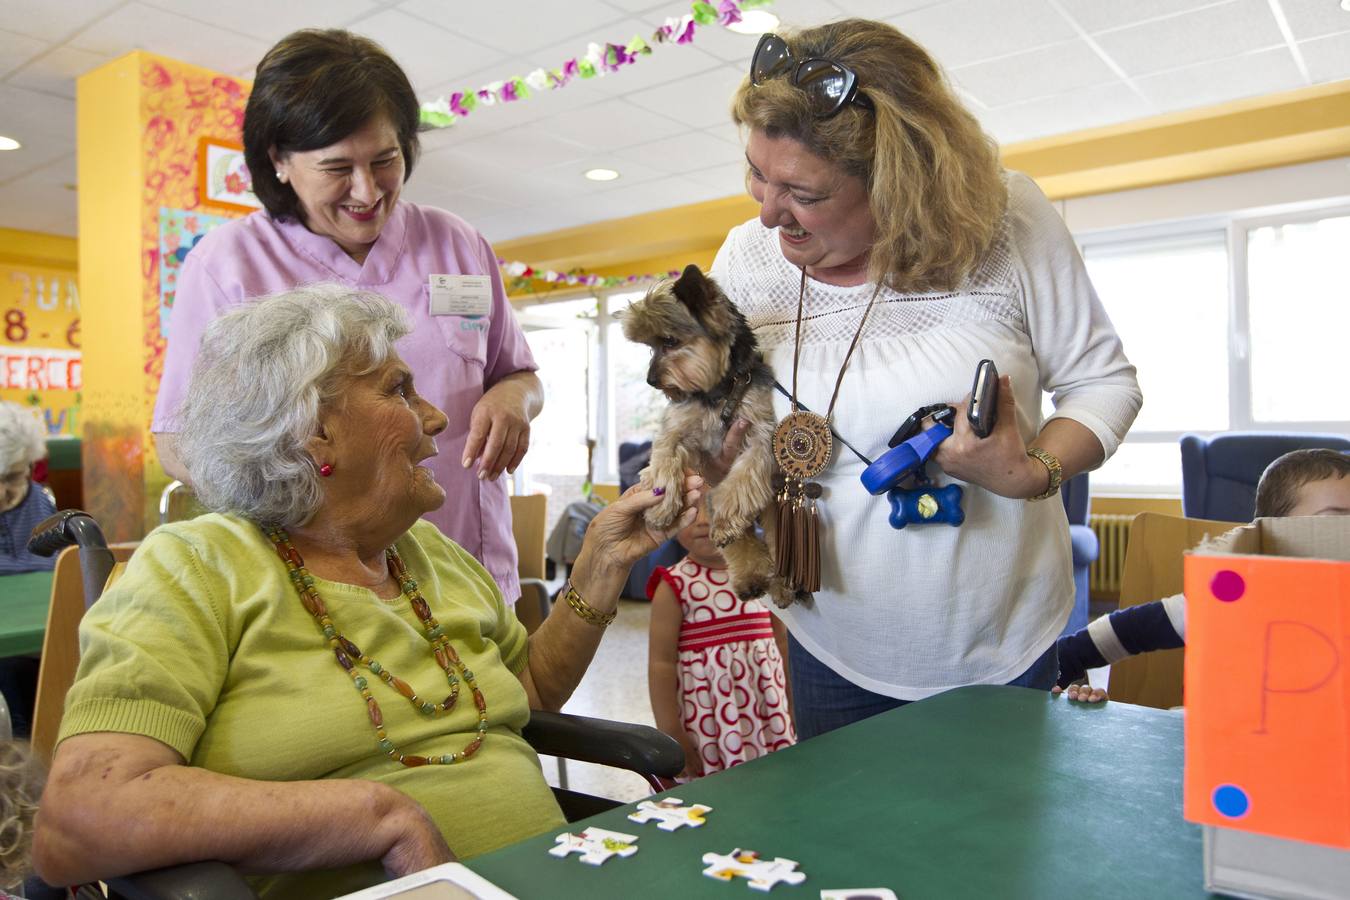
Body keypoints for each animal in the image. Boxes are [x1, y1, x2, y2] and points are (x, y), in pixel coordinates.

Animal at [618, 264, 793, 609]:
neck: (718, 392)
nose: (650, 380)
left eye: (669, 341)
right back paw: (750, 579)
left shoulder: (759, 434)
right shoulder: (676, 430)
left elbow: (742, 480)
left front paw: (725, 520)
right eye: (650, 347)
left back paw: (779, 583)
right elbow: (664, 460)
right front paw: (661, 505)